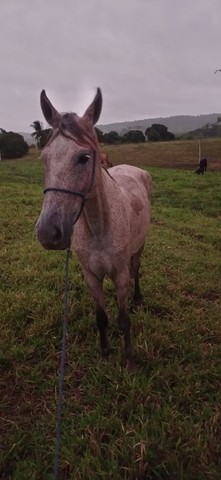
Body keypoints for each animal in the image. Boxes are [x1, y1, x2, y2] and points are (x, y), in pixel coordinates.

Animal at [35, 87, 152, 364]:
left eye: (84, 157)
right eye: (44, 158)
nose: (48, 233)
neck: (99, 227)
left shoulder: (120, 275)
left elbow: (123, 319)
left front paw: (129, 358)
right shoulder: (91, 276)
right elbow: (102, 317)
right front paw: (105, 350)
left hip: (139, 248)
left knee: (137, 271)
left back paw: (138, 299)